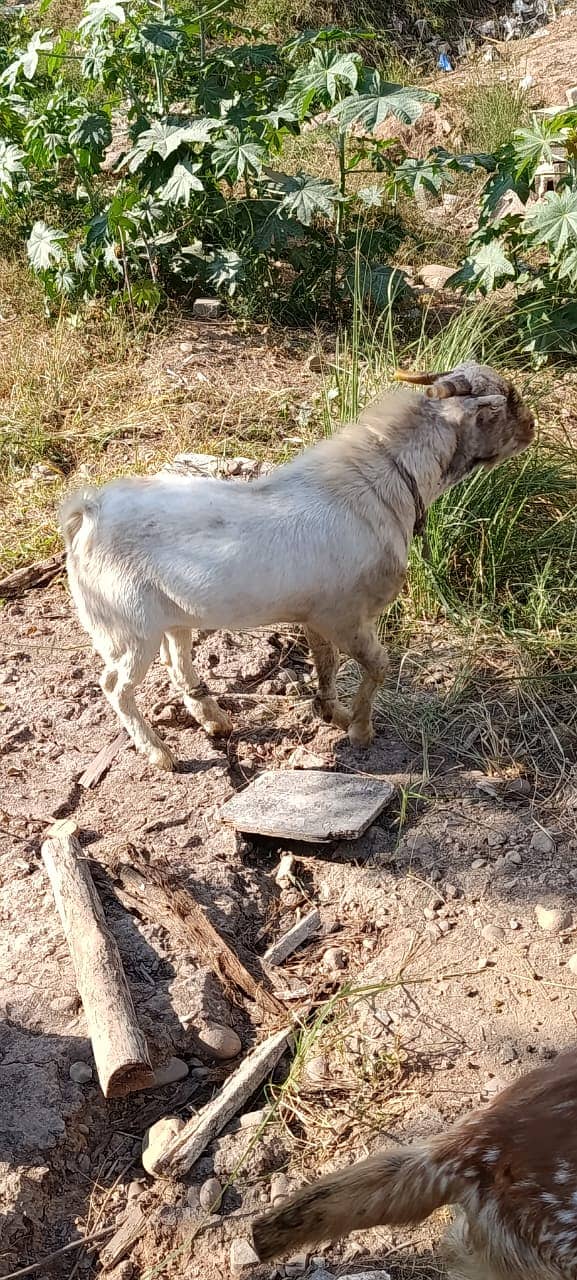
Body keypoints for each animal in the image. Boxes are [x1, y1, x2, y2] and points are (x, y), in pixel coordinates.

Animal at [61, 366, 534, 773]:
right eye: (508, 400)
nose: (532, 426)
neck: (384, 486)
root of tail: (89, 511)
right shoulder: (346, 616)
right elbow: (377, 665)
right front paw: (360, 730)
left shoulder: (316, 616)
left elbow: (326, 664)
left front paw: (332, 713)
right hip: (125, 629)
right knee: (115, 686)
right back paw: (160, 753)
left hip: (171, 618)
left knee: (177, 663)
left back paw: (214, 719)